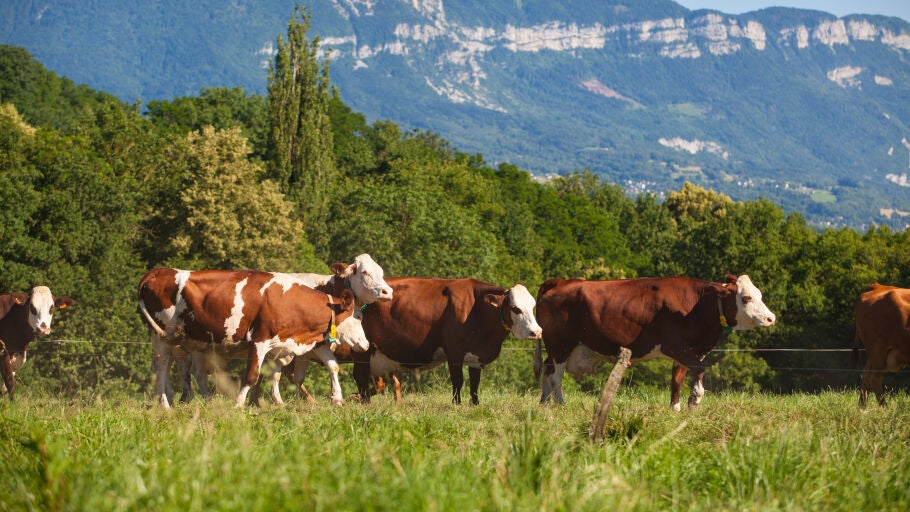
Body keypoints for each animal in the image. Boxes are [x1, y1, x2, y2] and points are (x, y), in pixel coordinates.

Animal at [137, 268, 370, 409]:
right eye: (358, 316)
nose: (366, 344)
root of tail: (158, 272)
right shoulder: (259, 340)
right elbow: (252, 376)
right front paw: (239, 404)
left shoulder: (306, 342)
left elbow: (332, 366)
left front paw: (337, 398)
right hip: (163, 335)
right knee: (162, 368)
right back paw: (165, 404)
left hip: (176, 340)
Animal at [176, 254, 393, 404]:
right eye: (364, 272)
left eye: (381, 271)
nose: (387, 291)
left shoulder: (305, 345)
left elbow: (324, 367)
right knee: (194, 370)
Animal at [328, 277, 543, 405]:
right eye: (516, 308)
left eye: (533, 306)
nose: (536, 331)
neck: (477, 309)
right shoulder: (454, 352)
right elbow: (458, 380)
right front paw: (457, 404)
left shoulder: (476, 355)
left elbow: (475, 383)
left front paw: (475, 404)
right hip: (362, 349)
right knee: (360, 375)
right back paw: (364, 402)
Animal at [535, 275, 776, 411]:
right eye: (746, 298)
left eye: (760, 295)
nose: (770, 318)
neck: (698, 305)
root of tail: (559, 282)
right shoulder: (676, 346)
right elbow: (699, 369)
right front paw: (695, 399)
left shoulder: (690, 350)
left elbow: (677, 378)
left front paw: (675, 408)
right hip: (561, 345)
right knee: (555, 376)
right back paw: (560, 405)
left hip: (560, 348)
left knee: (547, 371)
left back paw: (544, 405)